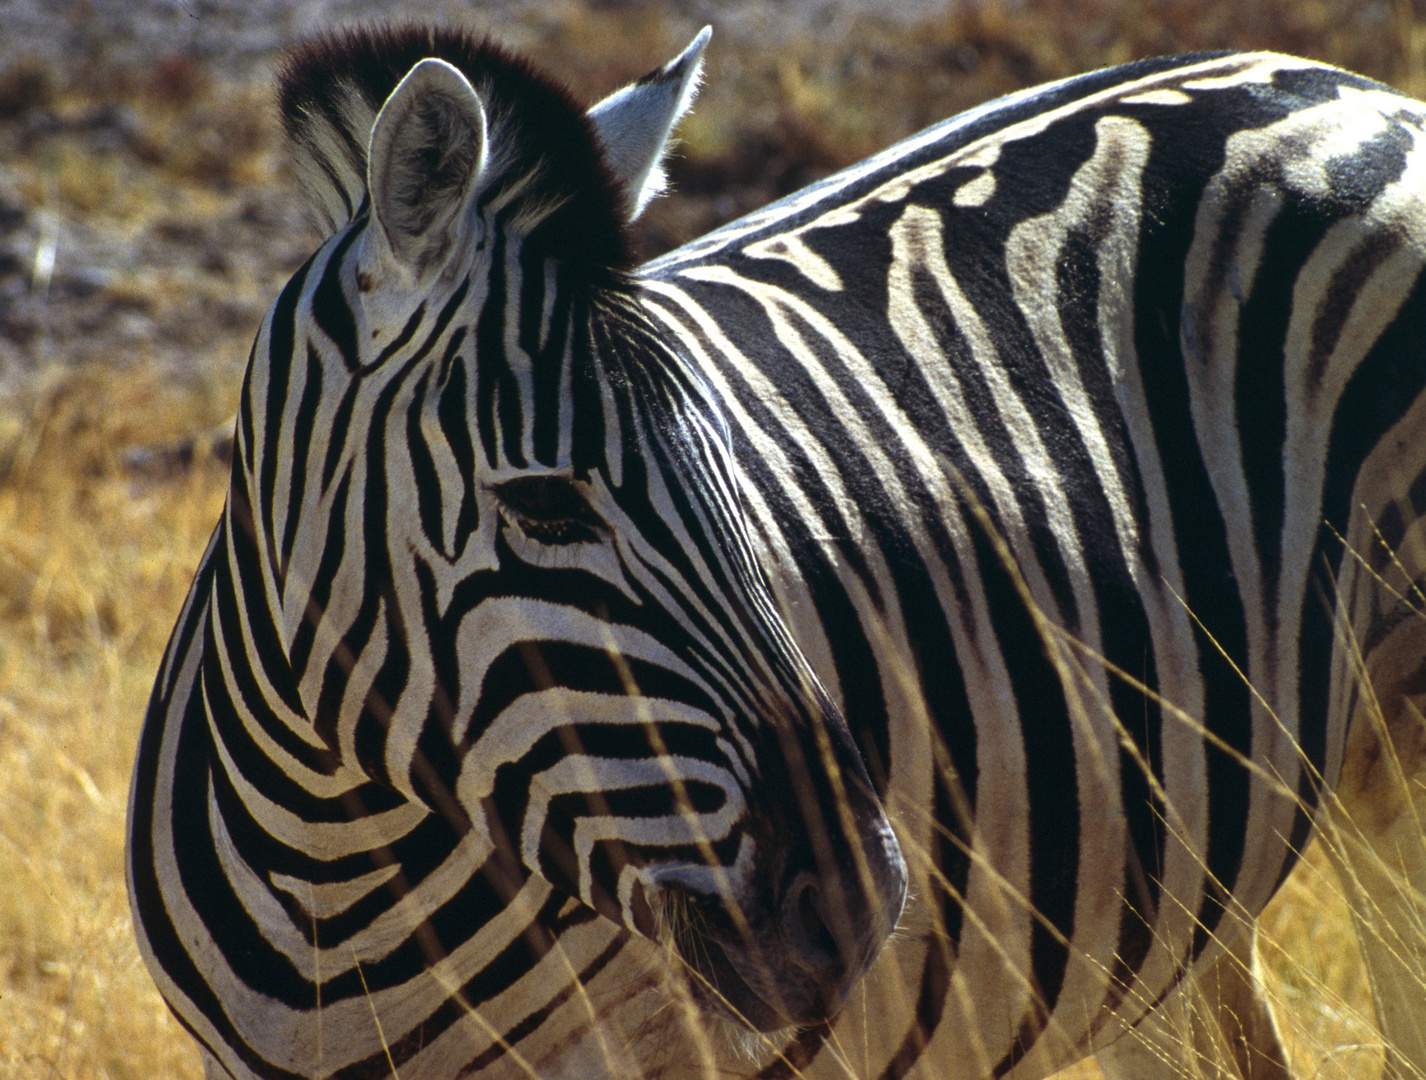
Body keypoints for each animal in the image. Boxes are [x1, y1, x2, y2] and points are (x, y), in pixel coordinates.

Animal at [122, 18, 1426, 1078]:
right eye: (544, 508)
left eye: (736, 485)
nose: (860, 911)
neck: (333, 880)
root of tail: (1317, 74)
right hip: (1160, 894)